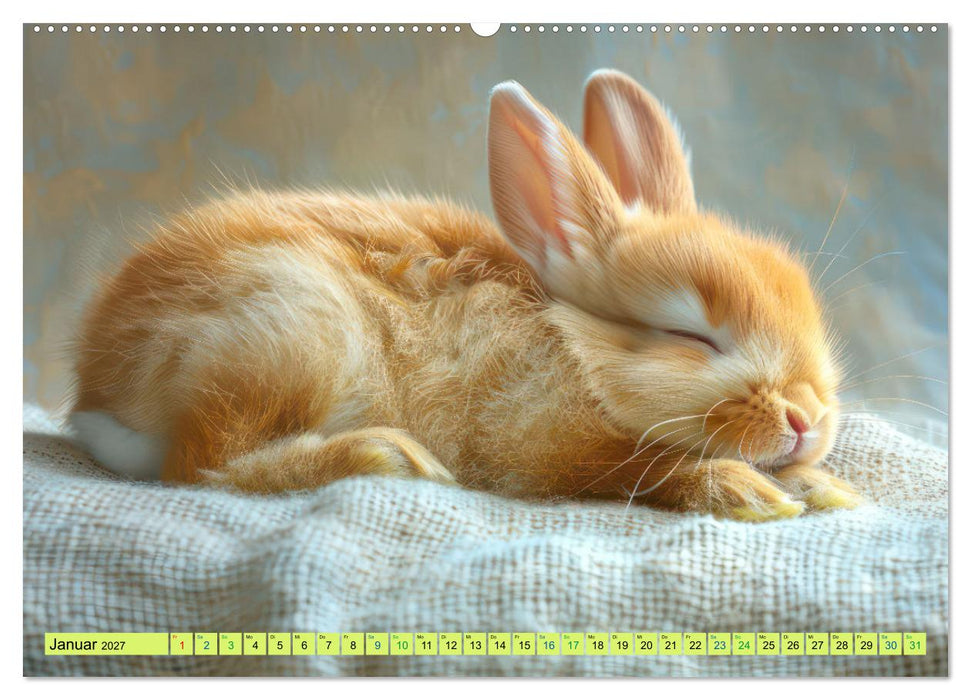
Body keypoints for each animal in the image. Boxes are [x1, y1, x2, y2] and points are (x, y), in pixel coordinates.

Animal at [69, 69, 861, 521]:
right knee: (207, 466)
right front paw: (752, 492)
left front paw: (823, 487)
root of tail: (98, 394)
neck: (571, 344)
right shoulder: (540, 445)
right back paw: (386, 456)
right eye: (689, 336)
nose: (807, 418)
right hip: (294, 333)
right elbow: (637, 468)